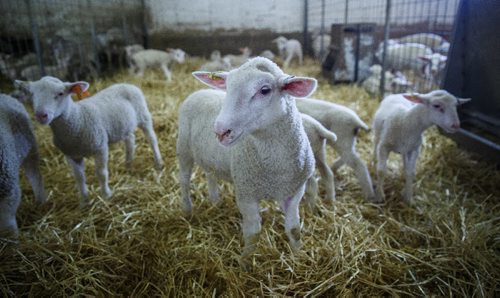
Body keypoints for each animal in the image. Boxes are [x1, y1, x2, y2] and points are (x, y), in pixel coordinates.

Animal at [0, 93, 47, 237]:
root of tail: (5, 95)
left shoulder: (9, 191)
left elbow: (8, 225)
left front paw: (13, 240)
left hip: (30, 148)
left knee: (35, 176)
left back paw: (41, 202)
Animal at [15, 77, 163, 207]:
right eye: (32, 94)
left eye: (60, 93)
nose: (41, 115)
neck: (77, 118)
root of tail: (125, 83)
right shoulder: (71, 155)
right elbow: (79, 178)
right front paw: (84, 201)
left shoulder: (100, 147)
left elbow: (102, 173)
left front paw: (106, 195)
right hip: (123, 125)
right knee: (130, 140)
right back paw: (128, 164)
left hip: (143, 115)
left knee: (152, 139)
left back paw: (158, 163)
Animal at [177, 57, 316, 262]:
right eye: (227, 87)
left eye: (265, 90)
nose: (221, 131)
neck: (276, 168)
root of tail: (200, 91)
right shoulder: (246, 194)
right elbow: (253, 234)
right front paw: (245, 262)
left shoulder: (295, 191)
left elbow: (294, 229)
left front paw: (297, 256)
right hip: (184, 149)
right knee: (184, 180)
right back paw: (187, 209)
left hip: (209, 157)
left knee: (210, 174)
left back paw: (215, 201)